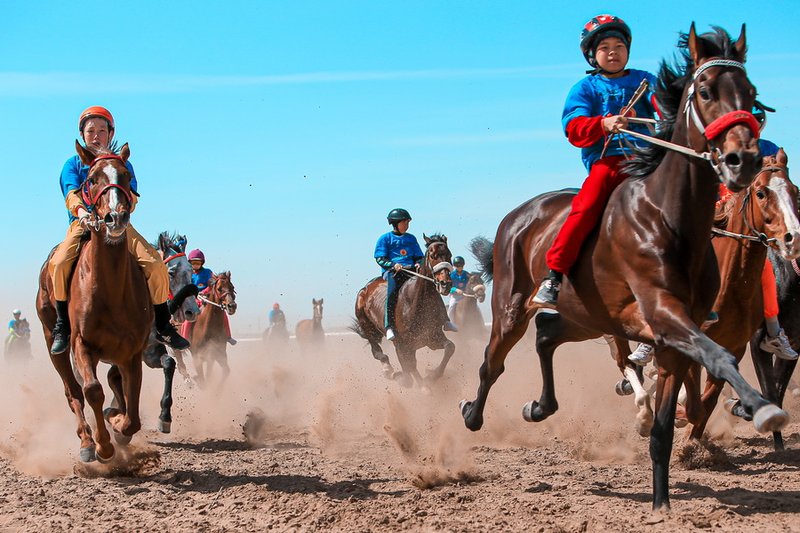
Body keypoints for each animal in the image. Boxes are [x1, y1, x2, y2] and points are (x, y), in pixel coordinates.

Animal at [36, 141, 152, 462]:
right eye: (91, 179)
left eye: (126, 176)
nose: (116, 217)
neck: (110, 290)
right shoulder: (81, 345)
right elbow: (92, 390)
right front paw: (103, 445)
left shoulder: (131, 353)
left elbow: (132, 413)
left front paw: (117, 422)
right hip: (53, 344)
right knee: (73, 392)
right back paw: (87, 443)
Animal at [140, 230, 199, 432]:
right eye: (171, 272)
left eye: (191, 271)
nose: (192, 311)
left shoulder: (150, 352)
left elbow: (169, 363)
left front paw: (164, 417)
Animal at [352, 233, 456, 386]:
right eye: (433, 255)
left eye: (449, 255)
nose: (445, 284)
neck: (415, 304)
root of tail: (366, 288)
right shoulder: (402, 345)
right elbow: (409, 370)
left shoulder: (432, 337)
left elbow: (450, 347)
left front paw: (433, 375)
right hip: (367, 325)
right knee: (377, 351)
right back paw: (388, 370)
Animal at [456, 27, 788, 510]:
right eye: (706, 91)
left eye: (751, 94)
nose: (740, 159)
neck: (669, 218)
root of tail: (518, 215)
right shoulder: (663, 315)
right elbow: (718, 356)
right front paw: (762, 407)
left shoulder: (670, 339)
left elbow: (669, 424)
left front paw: (661, 503)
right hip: (511, 308)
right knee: (491, 364)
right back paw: (472, 414)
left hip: (590, 316)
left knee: (547, 335)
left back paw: (539, 407)